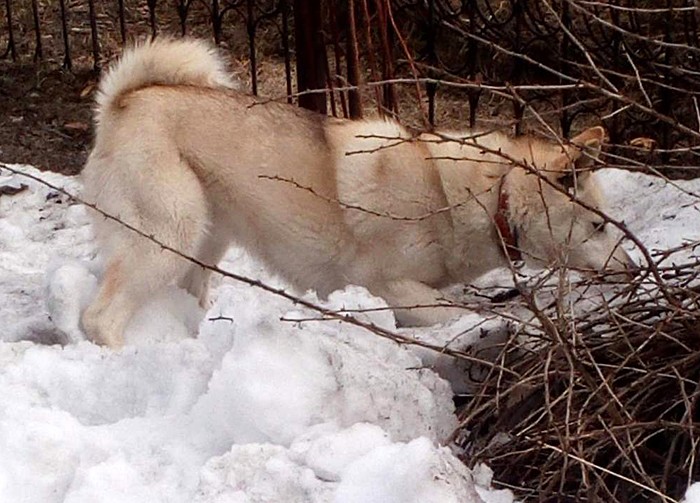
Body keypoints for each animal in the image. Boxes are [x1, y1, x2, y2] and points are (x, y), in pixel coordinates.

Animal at [81, 37, 635, 347]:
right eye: (598, 225)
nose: (631, 269)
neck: (483, 196)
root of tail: (124, 101)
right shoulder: (387, 287)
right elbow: (469, 313)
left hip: (204, 244)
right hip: (168, 238)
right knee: (98, 319)